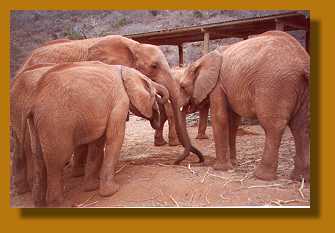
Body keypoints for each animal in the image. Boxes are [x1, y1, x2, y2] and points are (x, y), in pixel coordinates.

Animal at [11, 61, 169, 206]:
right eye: (152, 90)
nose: (161, 98)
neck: (125, 71)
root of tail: (34, 101)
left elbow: (98, 142)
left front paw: (91, 188)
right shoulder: (120, 102)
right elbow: (114, 138)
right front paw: (112, 191)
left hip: (36, 124)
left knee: (37, 155)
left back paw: (38, 202)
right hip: (55, 122)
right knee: (56, 162)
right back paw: (58, 204)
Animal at [178, 30, 310, 181]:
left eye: (182, 87)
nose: (177, 163)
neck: (203, 59)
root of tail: (303, 62)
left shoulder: (217, 84)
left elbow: (220, 117)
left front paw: (220, 168)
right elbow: (233, 122)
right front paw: (233, 163)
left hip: (274, 84)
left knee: (273, 126)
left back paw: (261, 176)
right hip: (301, 87)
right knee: (301, 127)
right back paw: (300, 178)